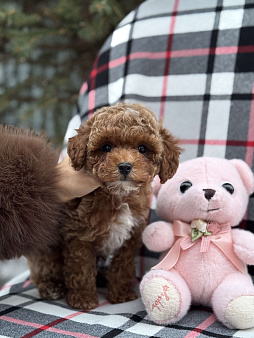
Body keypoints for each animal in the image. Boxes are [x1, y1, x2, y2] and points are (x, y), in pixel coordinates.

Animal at [29, 102, 181, 308]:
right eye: (106, 147)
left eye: (142, 148)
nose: (124, 166)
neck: (119, 194)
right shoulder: (79, 234)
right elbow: (81, 268)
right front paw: (83, 298)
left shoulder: (131, 236)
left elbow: (123, 266)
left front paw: (121, 294)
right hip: (46, 249)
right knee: (43, 269)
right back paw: (51, 288)